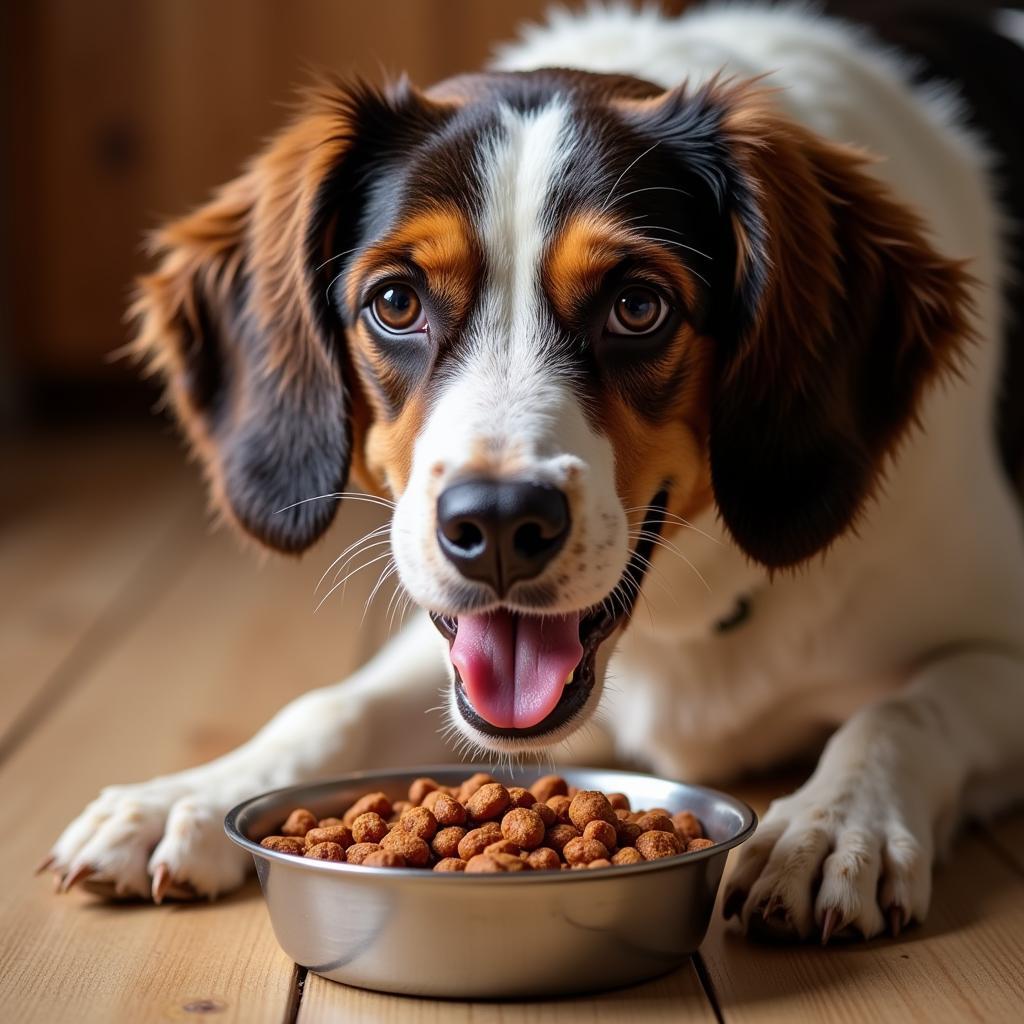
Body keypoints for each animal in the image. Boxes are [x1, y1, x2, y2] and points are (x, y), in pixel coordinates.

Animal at [46, 2, 1024, 942]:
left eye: (639, 306)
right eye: (394, 300)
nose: (497, 526)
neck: (684, 621)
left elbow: (905, 709)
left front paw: (831, 826)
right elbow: (333, 706)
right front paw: (193, 794)